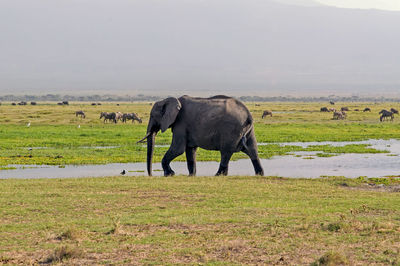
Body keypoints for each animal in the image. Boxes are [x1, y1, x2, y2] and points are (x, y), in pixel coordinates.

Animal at [138, 95, 266, 177]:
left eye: (153, 116)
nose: (150, 175)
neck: (168, 100)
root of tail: (248, 115)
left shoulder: (181, 123)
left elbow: (178, 149)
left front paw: (169, 174)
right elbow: (190, 150)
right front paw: (191, 175)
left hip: (231, 130)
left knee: (225, 152)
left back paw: (218, 175)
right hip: (248, 131)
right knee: (253, 150)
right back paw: (259, 174)